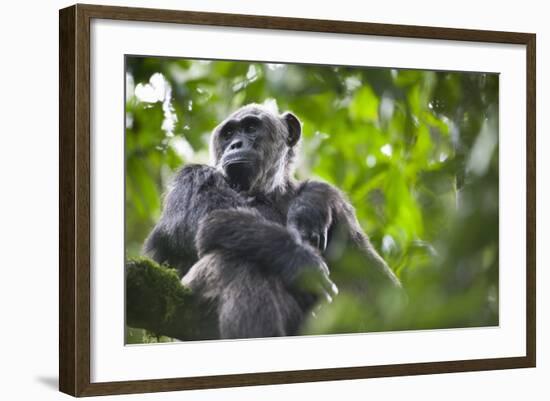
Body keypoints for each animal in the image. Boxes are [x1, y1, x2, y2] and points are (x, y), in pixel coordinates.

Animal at [142, 102, 402, 338]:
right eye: (228, 134)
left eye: (250, 127)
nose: (235, 144)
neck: (266, 193)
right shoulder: (193, 179)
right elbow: (213, 220)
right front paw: (302, 262)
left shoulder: (346, 218)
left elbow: (386, 290)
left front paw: (313, 202)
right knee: (232, 261)